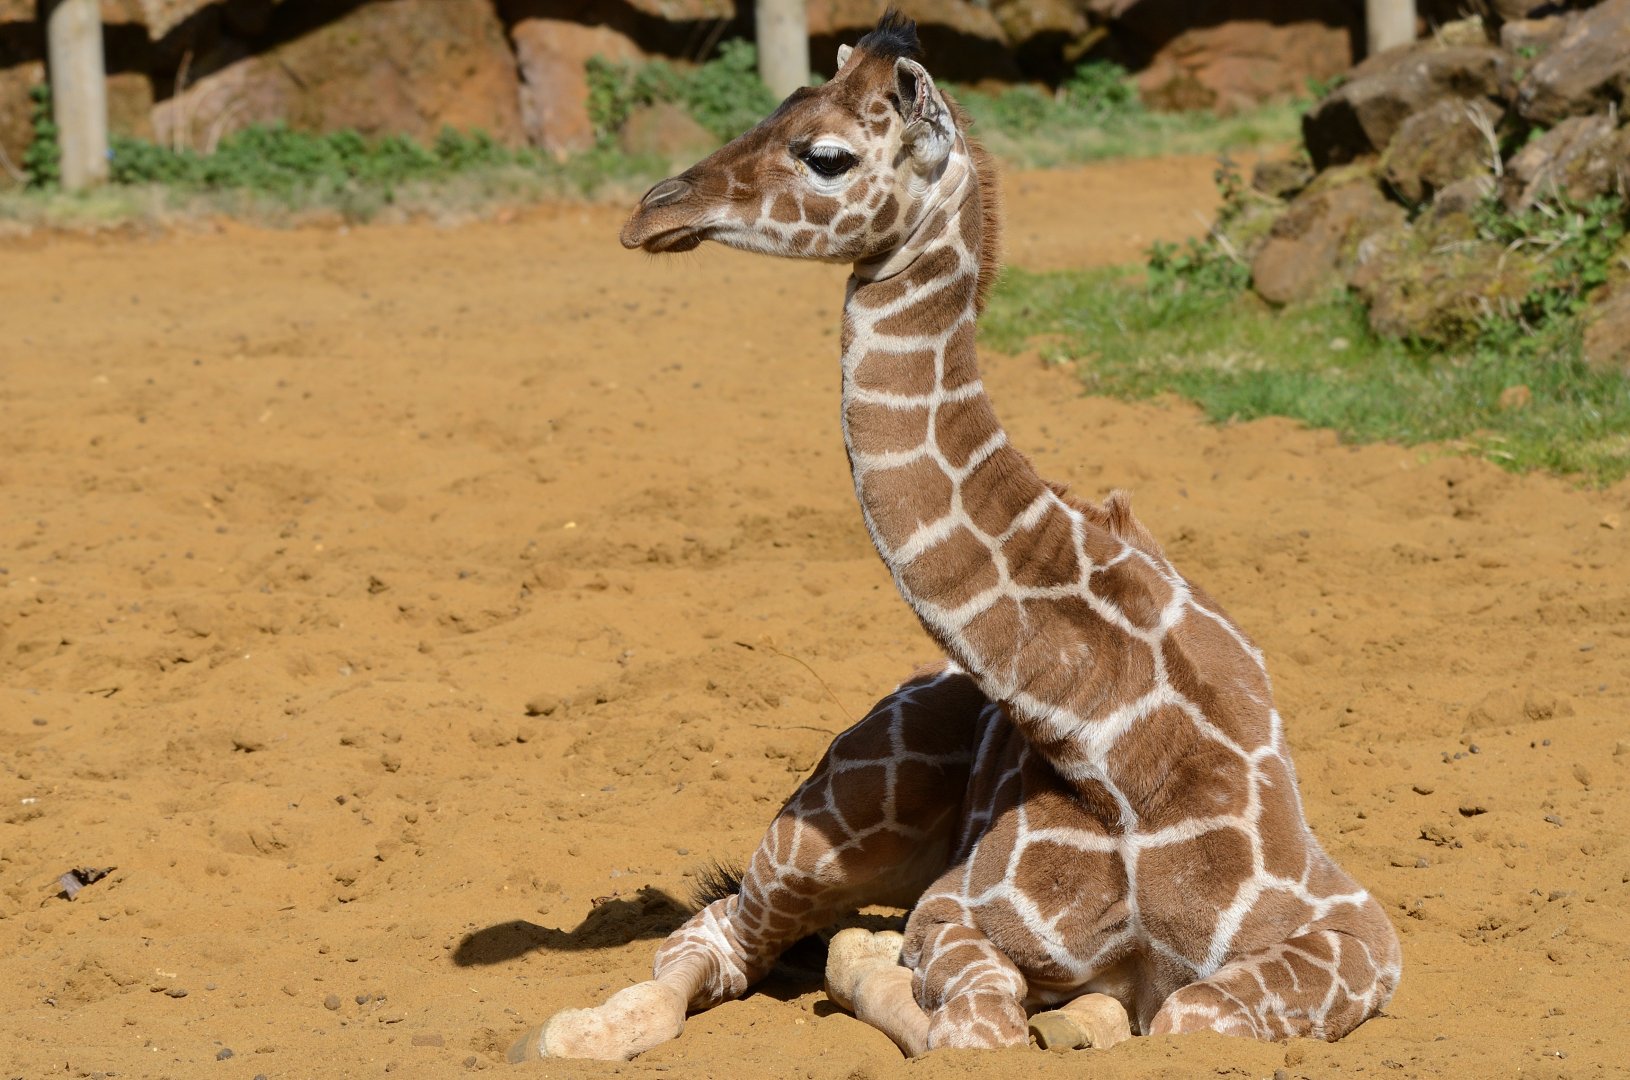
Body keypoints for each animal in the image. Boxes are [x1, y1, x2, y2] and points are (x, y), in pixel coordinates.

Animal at [509, 12, 1402, 1063]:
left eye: (825, 153)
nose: (650, 211)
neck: (1113, 737)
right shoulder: (955, 908)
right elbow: (979, 1027)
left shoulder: (1356, 930)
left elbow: (1182, 1010)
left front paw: (1088, 1013)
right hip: (828, 823)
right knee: (720, 939)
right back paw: (572, 1033)